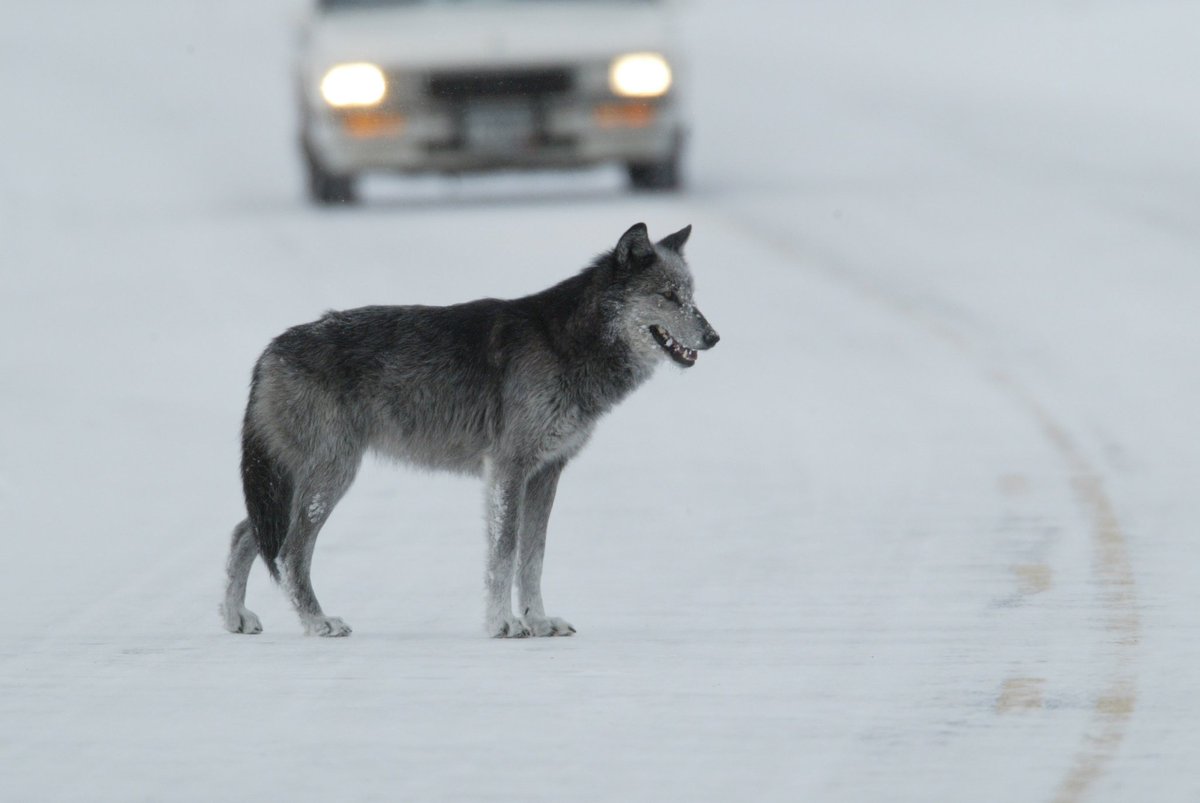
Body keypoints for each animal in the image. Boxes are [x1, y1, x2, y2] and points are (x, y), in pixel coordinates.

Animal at [220, 222, 719, 638]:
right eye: (667, 296)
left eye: (691, 296)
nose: (714, 337)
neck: (565, 343)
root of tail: (270, 350)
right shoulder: (508, 468)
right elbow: (504, 554)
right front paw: (503, 624)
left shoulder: (546, 473)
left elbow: (532, 558)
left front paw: (538, 621)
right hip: (331, 477)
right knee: (288, 551)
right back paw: (317, 622)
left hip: (297, 482)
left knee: (245, 533)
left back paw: (235, 618)